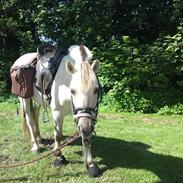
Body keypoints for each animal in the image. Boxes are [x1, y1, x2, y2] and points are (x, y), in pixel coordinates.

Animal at [15, 44, 101, 176]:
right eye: (73, 91)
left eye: (96, 90)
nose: (86, 128)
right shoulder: (57, 114)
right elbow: (58, 135)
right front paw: (58, 157)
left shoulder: (83, 117)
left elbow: (86, 138)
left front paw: (90, 164)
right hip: (24, 99)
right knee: (29, 120)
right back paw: (35, 146)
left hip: (37, 101)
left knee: (36, 116)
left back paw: (39, 138)